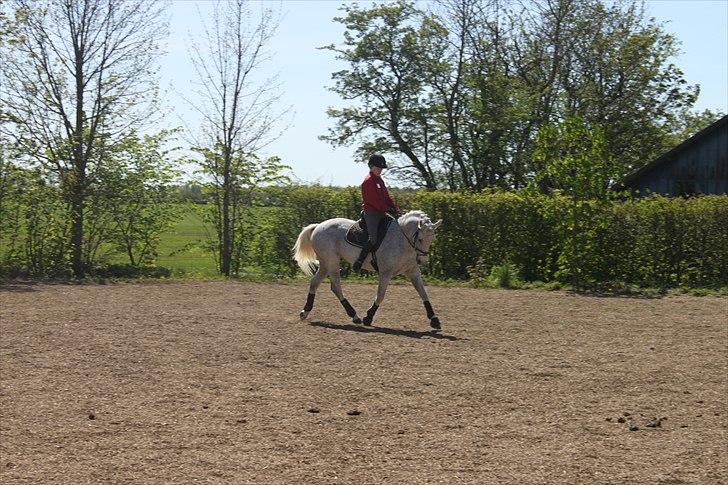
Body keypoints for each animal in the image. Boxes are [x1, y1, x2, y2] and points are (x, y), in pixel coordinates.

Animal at [292, 211, 444, 328]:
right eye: (420, 239)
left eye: (432, 239)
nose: (422, 261)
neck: (401, 241)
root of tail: (318, 225)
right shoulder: (385, 273)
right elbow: (380, 296)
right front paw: (368, 317)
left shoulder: (413, 272)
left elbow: (423, 293)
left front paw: (434, 319)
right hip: (332, 262)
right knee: (335, 287)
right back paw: (354, 316)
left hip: (325, 264)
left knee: (315, 283)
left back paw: (305, 311)